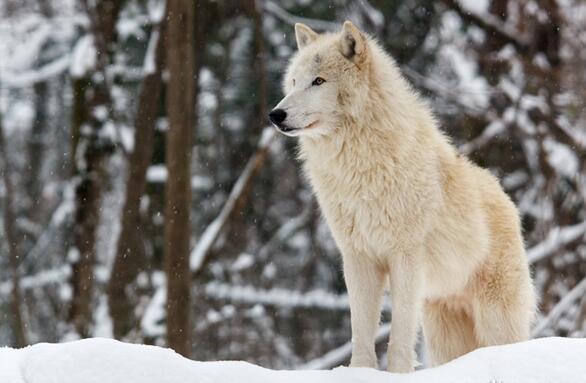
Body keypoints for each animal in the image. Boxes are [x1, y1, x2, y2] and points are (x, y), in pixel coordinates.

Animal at [270, 20, 532, 372]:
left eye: (319, 81)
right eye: (294, 82)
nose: (275, 114)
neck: (358, 166)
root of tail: (506, 197)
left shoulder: (406, 257)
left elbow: (400, 331)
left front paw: (397, 373)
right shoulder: (358, 257)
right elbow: (360, 328)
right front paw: (360, 372)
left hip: (495, 319)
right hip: (444, 329)